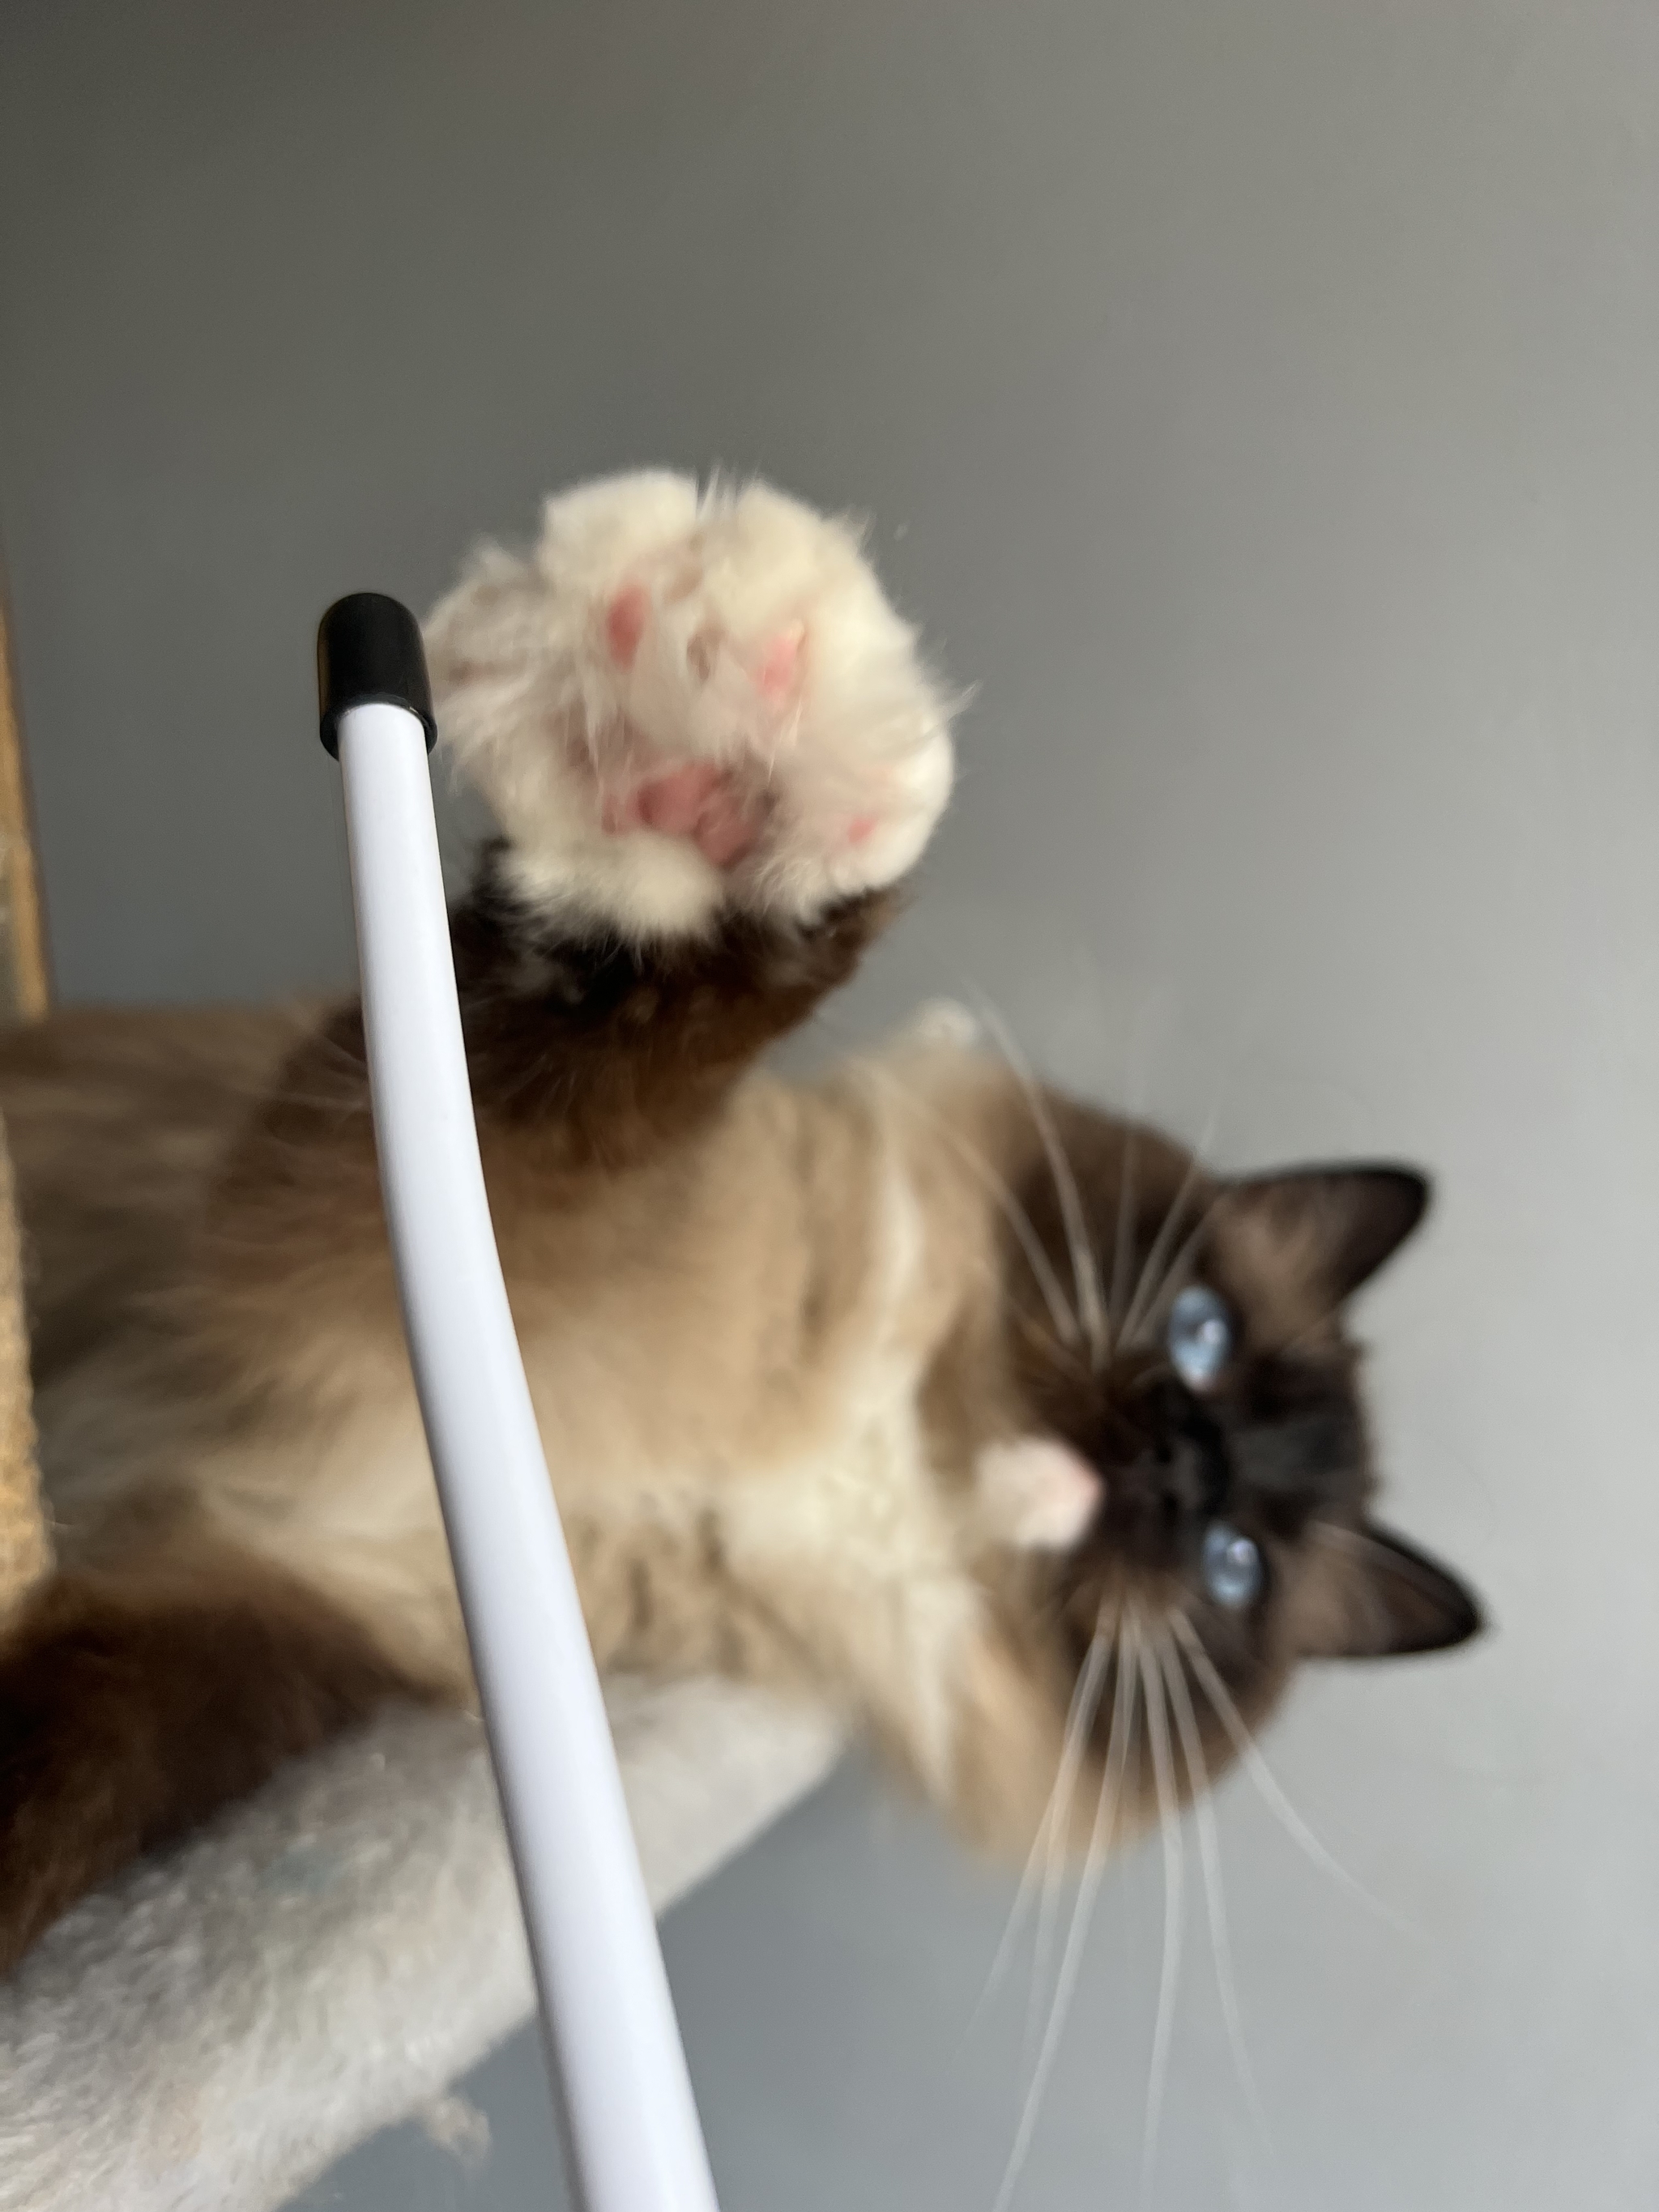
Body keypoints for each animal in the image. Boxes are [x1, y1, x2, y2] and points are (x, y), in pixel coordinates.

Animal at [0, 471, 1481, 1975]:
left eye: (1235, 1569)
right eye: (1200, 1334)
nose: (1185, 1465)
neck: (845, 1461)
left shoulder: (283, 1611)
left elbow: (71, 1770)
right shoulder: (362, 1276)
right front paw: (718, 739)